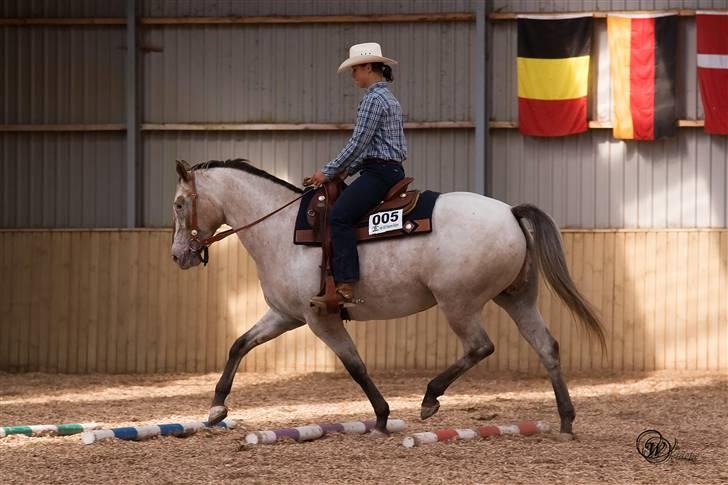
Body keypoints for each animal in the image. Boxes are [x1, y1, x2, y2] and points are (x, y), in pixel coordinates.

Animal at [172, 159, 608, 438]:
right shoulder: (285, 315)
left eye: (179, 204)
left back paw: (430, 398)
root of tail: (511, 213)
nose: (178, 256)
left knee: (480, 346)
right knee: (546, 347)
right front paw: (216, 408)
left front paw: (381, 418)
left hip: (459, 302)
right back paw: (566, 420)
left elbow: (355, 365)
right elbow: (239, 345)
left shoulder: (319, 318)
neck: (281, 229)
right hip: (516, 298)